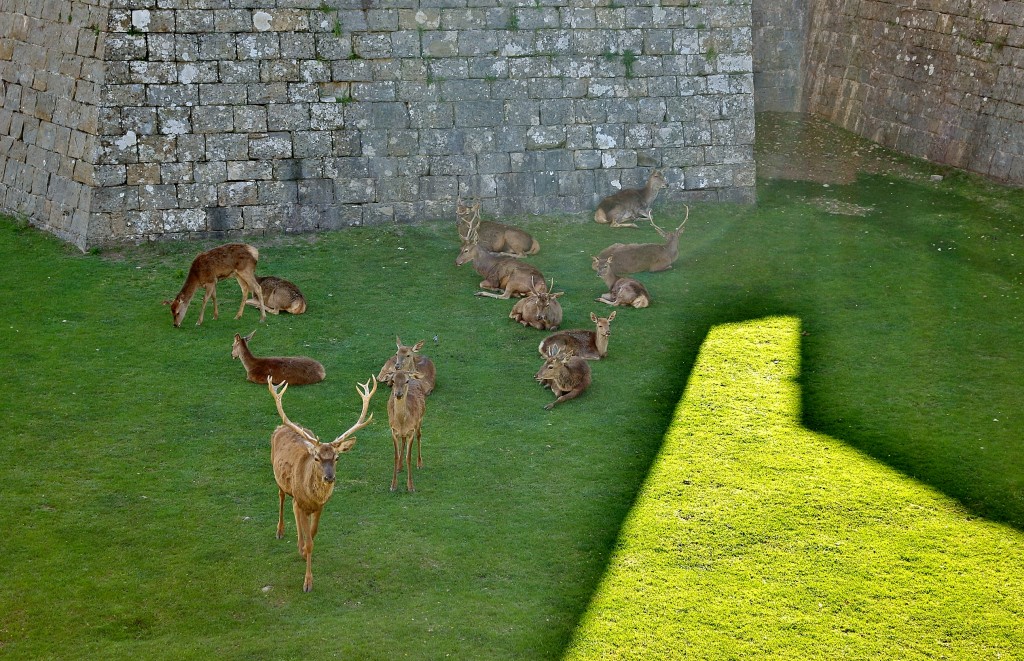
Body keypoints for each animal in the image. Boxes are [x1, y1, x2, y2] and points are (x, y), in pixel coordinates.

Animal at [266, 372, 378, 597]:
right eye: (317, 458)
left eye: (337, 458)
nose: (329, 478)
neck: (312, 497)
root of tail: (280, 426)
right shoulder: (301, 503)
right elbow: (309, 542)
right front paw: (308, 582)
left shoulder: (320, 507)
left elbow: (313, 534)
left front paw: (302, 549)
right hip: (277, 474)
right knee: (282, 497)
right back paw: (280, 530)